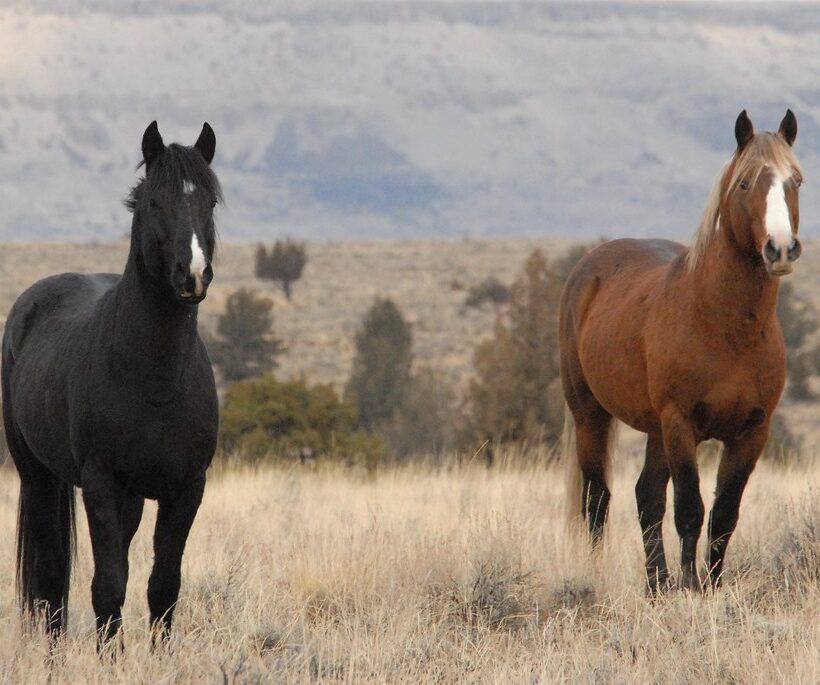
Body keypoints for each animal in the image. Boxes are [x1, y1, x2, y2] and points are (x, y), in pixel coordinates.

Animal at [1, 120, 223, 644]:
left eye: (210, 201)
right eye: (154, 202)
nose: (194, 275)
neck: (156, 381)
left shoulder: (187, 488)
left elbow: (163, 586)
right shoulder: (100, 484)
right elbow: (108, 585)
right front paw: (110, 657)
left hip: (134, 497)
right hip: (38, 476)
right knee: (50, 577)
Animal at [560, 109, 804, 592]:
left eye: (797, 181)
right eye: (745, 183)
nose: (781, 248)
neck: (725, 328)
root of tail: (588, 268)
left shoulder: (751, 433)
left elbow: (724, 514)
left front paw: (708, 586)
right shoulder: (681, 423)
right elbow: (690, 509)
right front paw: (690, 586)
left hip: (654, 429)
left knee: (646, 496)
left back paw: (656, 585)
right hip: (590, 415)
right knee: (598, 497)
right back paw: (599, 576)